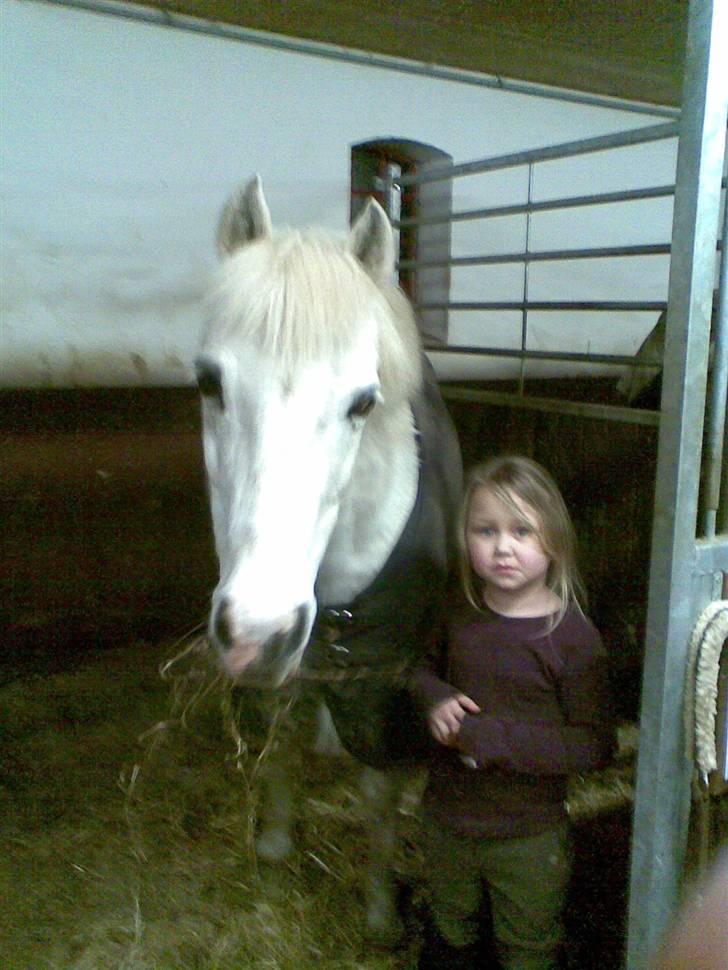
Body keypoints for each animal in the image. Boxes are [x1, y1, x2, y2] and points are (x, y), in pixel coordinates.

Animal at [194, 176, 462, 945]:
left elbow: (378, 795)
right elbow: (279, 746)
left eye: (362, 403)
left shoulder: (389, 686)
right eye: (208, 383)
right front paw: (275, 846)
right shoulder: (284, 674)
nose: (259, 634)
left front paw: (378, 914)